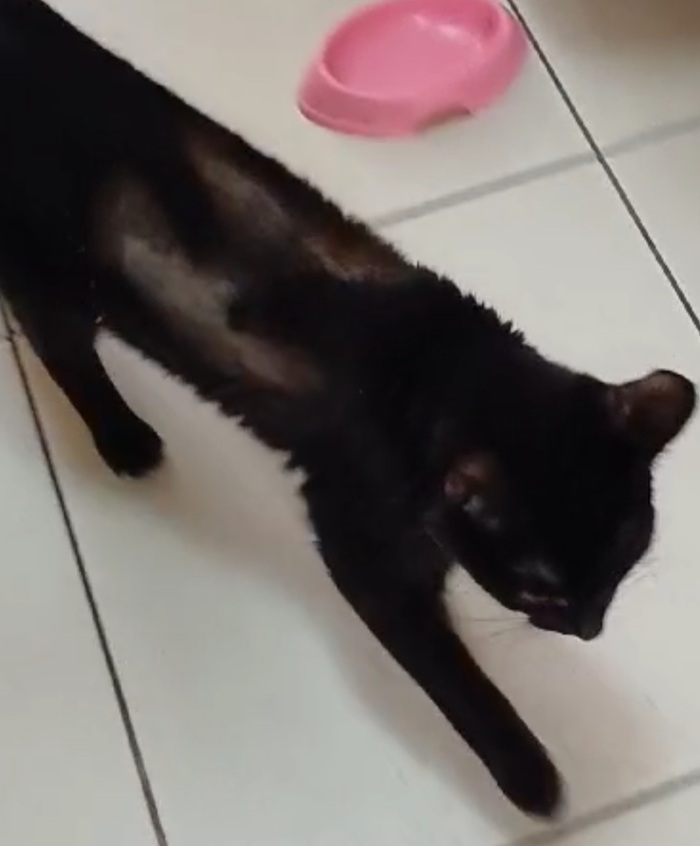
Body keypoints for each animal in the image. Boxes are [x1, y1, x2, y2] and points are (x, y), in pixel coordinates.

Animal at [0, 0, 694, 819]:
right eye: (539, 590)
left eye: (624, 557)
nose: (587, 629)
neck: (438, 362)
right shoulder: (361, 542)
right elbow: (456, 679)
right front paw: (530, 777)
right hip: (52, 278)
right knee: (60, 345)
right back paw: (124, 439)